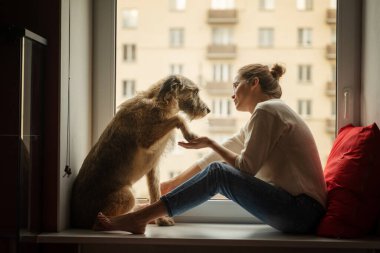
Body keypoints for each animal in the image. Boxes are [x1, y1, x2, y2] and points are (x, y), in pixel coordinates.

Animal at [71, 74, 211, 228]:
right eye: (195, 92)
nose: (208, 110)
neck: (161, 101)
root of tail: (76, 218)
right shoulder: (146, 138)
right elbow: (178, 117)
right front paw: (189, 134)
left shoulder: (153, 166)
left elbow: (155, 192)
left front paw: (161, 219)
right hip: (127, 196)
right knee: (99, 222)